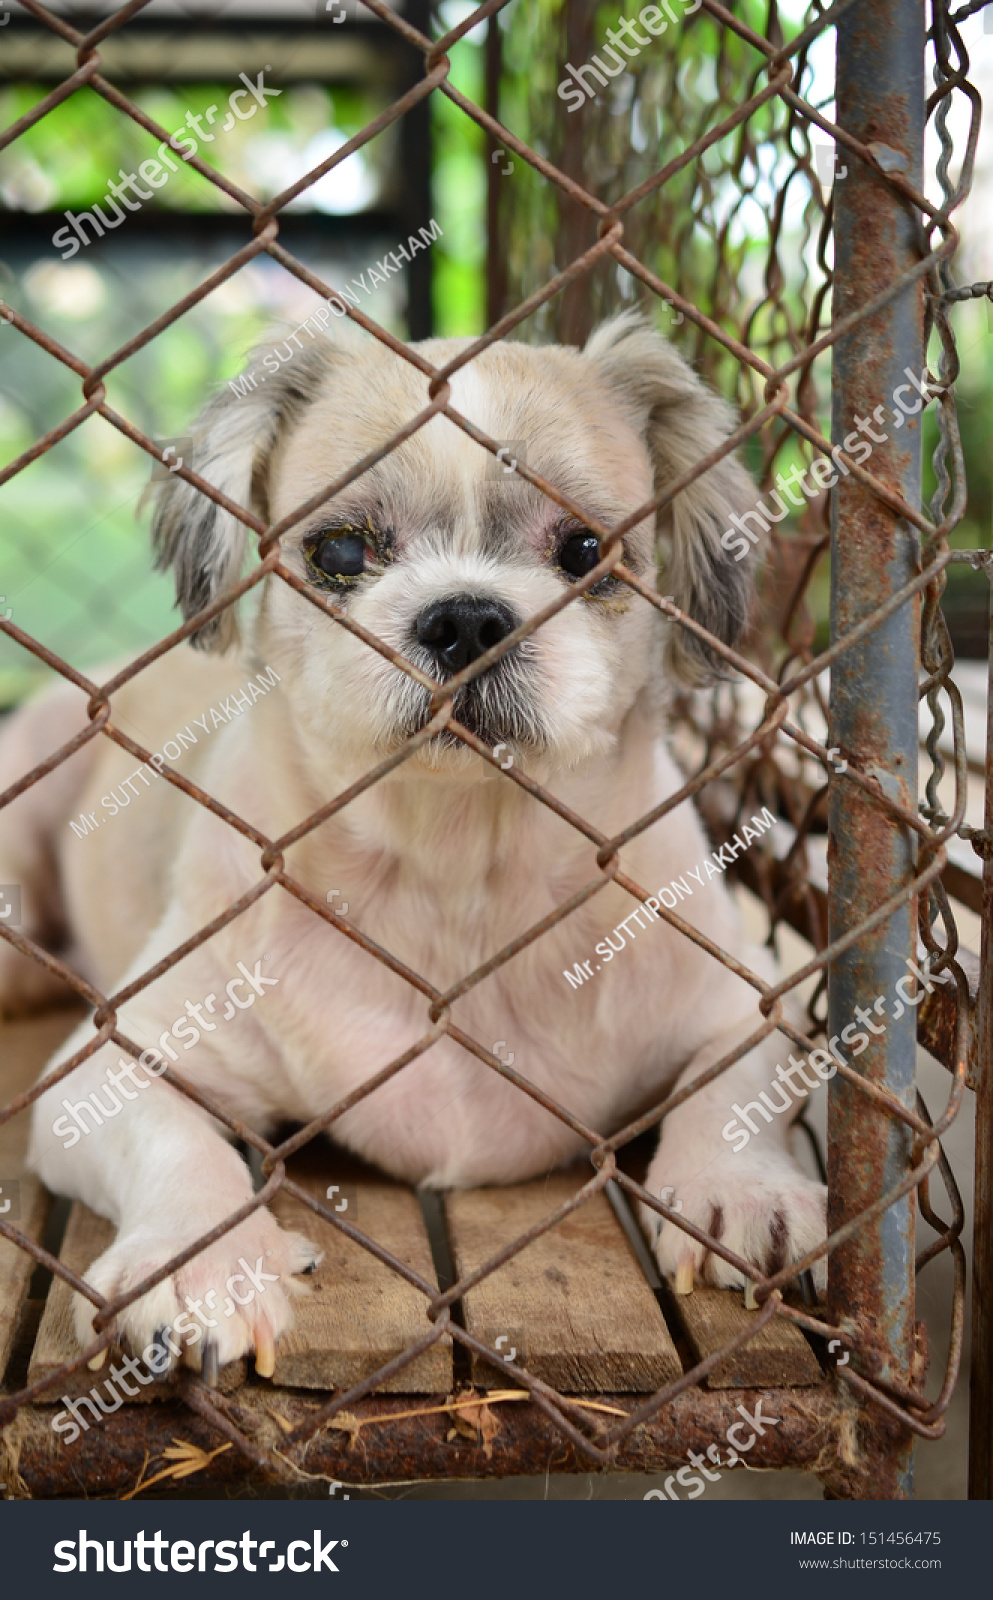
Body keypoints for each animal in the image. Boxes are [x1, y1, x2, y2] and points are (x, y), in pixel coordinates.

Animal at [0, 312, 825, 1376]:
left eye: (585, 550)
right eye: (343, 550)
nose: (467, 615)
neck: (454, 871)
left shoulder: (744, 1003)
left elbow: (735, 1077)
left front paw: (743, 1186)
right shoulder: (106, 1068)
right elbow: (176, 1145)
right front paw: (202, 1261)